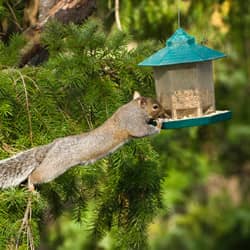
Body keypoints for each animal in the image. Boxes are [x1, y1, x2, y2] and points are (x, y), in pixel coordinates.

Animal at [0, 92, 166, 189]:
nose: (166, 112)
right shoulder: (132, 123)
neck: (134, 109)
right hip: (55, 166)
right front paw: (158, 125)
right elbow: (142, 131)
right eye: (155, 107)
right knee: (35, 175)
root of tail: (53, 146)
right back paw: (32, 188)